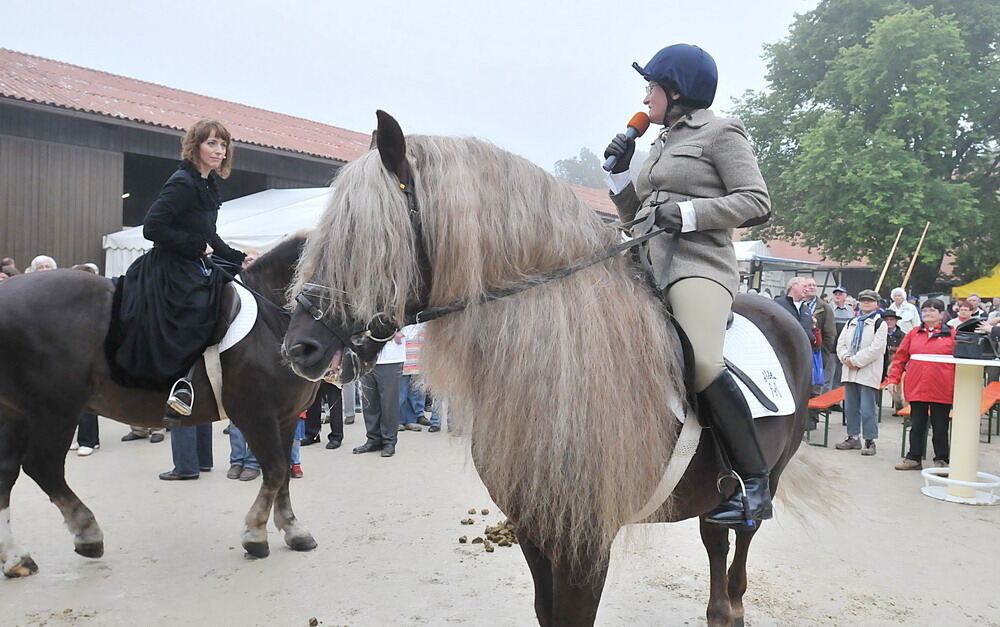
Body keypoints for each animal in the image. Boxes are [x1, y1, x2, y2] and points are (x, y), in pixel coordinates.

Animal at [0, 236, 318, 580]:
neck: (273, 321)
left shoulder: (287, 417)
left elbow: (283, 474)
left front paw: (293, 530)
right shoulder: (256, 415)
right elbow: (275, 470)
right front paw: (256, 534)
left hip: (18, 414)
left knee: (7, 472)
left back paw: (16, 558)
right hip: (53, 412)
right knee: (42, 468)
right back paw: (87, 534)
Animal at [280, 114, 812, 627]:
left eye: (368, 240)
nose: (300, 349)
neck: (560, 367)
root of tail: (781, 311)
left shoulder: (585, 543)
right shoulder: (534, 529)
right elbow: (546, 612)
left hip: (768, 476)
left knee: (741, 537)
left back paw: (733, 604)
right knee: (715, 537)